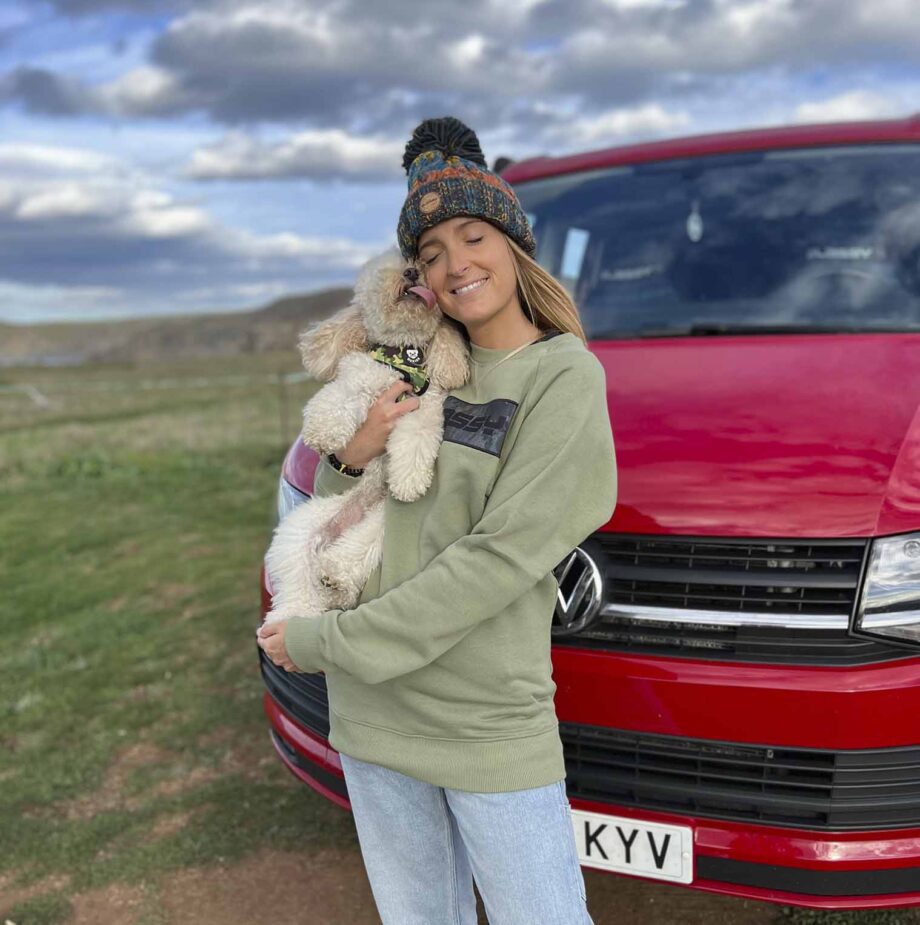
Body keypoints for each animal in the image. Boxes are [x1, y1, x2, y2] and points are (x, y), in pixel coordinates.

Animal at [262, 244, 470, 628]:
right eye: (387, 268)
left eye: (420, 262)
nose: (411, 273)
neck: (404, 358)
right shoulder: (358, 377)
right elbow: (340, 397)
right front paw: (323, 429)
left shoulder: (426, 411)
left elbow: (416, 440)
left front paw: (409, 480)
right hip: (298, 537)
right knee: (296, 589)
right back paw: (291, 617)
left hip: (382, 522)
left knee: (356, 555)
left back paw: (336, 580)